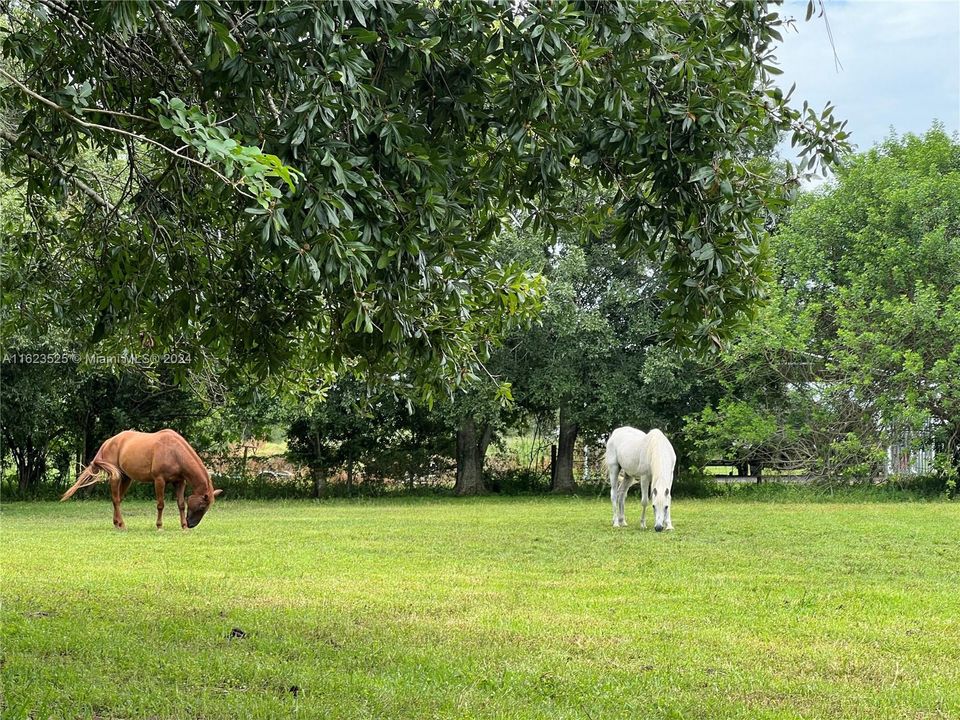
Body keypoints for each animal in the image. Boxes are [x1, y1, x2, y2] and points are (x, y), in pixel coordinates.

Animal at [61, 428, 222, 528]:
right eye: (202, 506)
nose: (191, 524)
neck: (174, 452)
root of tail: (108, 442)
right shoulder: (159, 480)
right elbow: (160, 504)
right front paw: (159, 526)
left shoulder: (180, 482)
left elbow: (181, 504)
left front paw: (183, 527)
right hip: (116, 477)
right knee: (115, 499)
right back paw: (122, 524)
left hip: (126, 478)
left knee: (118, 499)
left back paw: (117, 524)